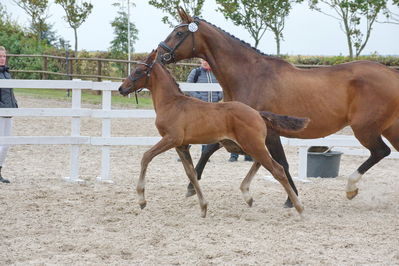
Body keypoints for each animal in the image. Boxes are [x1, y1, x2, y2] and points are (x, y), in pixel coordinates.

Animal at [119, 50, 310, 218]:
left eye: (138, 71)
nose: (121, 88)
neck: (172, 103)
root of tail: (258, 113)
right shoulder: (181, 145)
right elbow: (191, 174)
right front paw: (203, 207)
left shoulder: (171, 138)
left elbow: (146, 156)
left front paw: (142, 200)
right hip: (240, 146)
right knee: (261, 162)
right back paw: (247, 195)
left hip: (251, 145)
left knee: (277, 169)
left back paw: (300, 208)